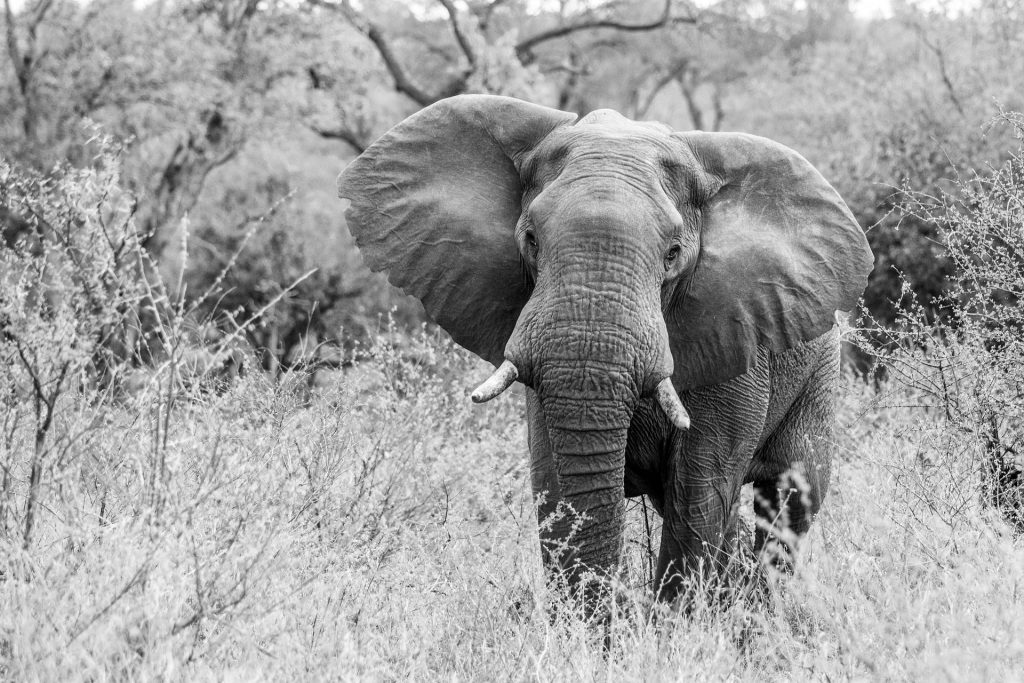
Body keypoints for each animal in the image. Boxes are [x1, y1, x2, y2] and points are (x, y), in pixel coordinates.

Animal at [337, 95, 872, 607]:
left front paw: (676, 627)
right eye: (530, 239)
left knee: (792, 496)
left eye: (673, 254)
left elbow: (699, 491)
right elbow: (554, 481)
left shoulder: (734, 334)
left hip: (820, 372)